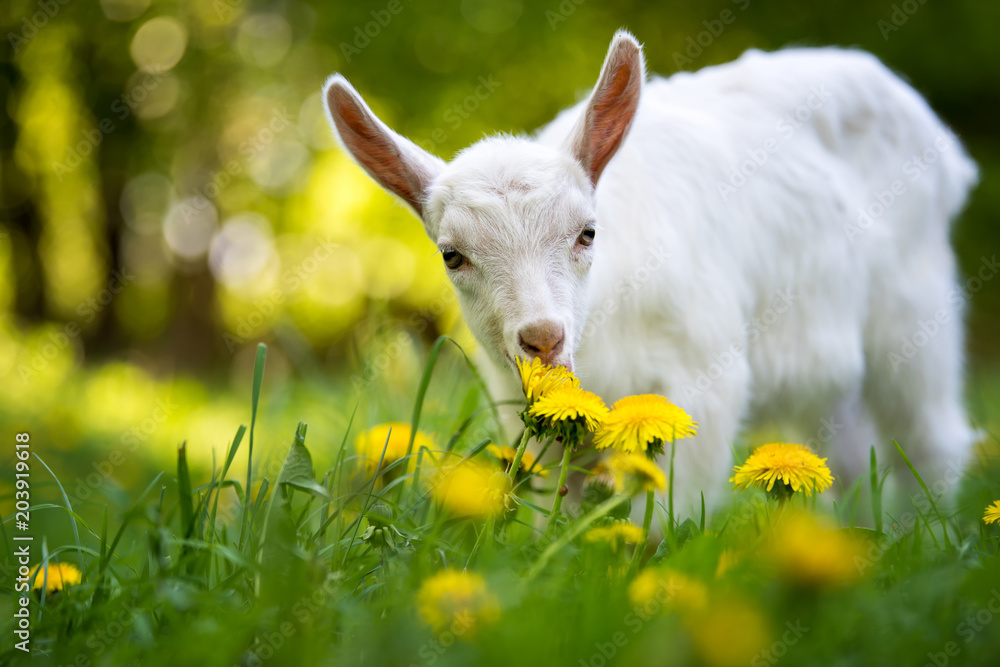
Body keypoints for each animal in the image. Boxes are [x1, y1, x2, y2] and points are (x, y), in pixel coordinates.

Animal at [326, 30, 976, 512]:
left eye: (588, 232)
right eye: (451, 254)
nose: (542, 339)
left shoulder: (702, 388)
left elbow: (667, 516)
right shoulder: (531, 419)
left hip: (915, 312)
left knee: (929, 438)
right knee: (847, 452)